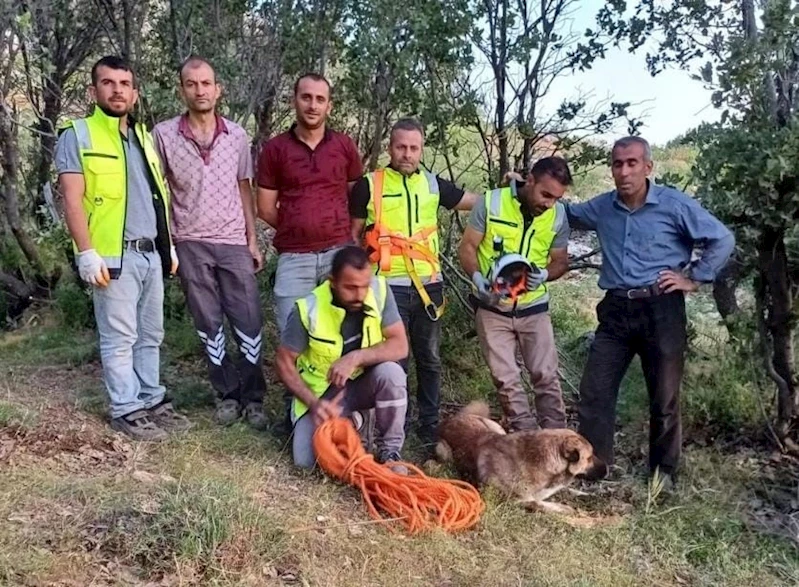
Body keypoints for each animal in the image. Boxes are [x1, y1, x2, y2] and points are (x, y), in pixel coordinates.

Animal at [438, 402, 600, 512]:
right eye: (590, 457)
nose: (605, 472)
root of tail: (451, 418)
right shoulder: (513, 500)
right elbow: (538, 504)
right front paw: (566, 510)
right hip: (442, 450)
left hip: (496, 428)